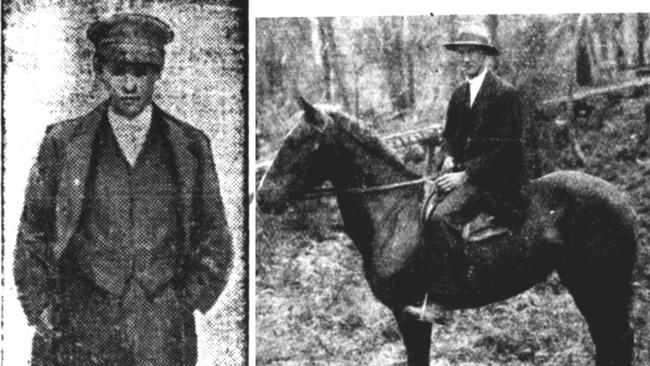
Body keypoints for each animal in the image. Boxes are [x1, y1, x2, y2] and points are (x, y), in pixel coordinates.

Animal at [256, 98, 636, 364]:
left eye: (295, 142)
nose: (262, 197)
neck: (392, 213)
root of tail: (621, 199)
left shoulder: (411, 313)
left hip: (600, 282)